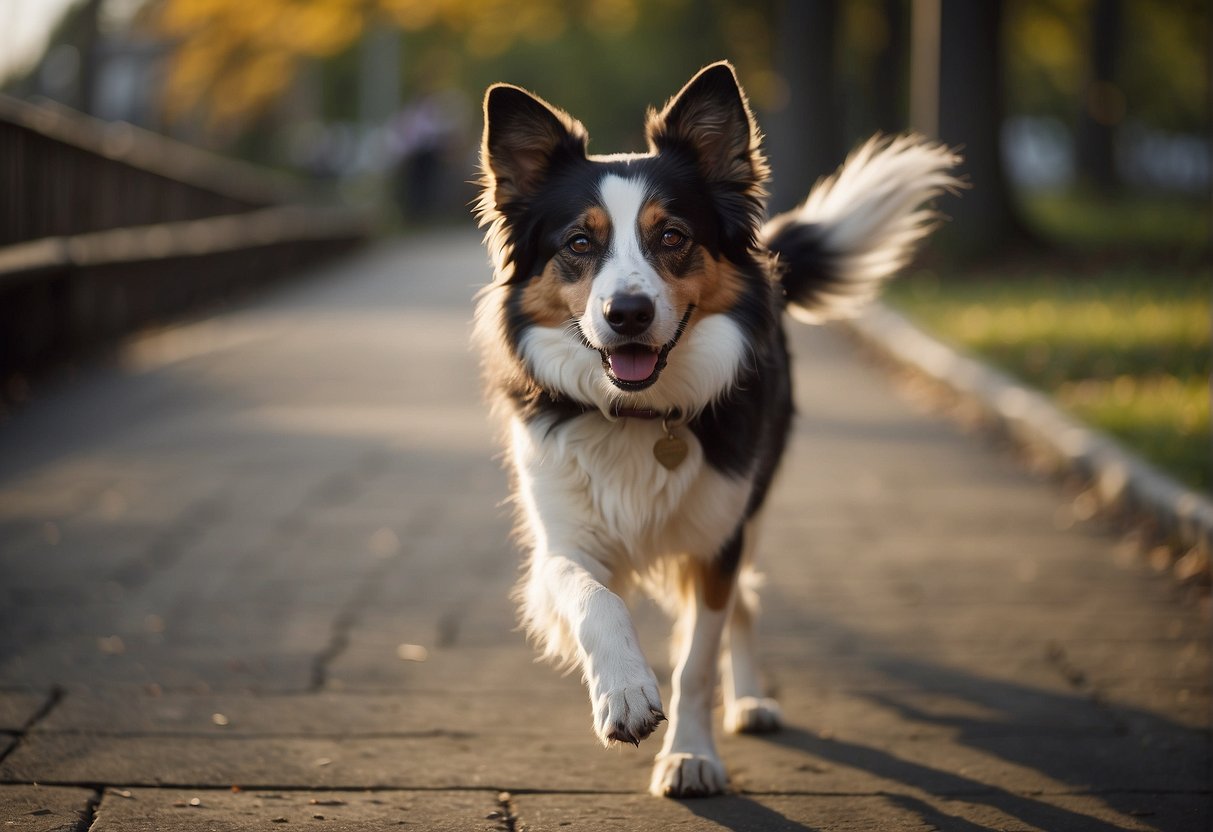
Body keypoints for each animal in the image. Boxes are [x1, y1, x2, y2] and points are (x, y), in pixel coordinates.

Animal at [470, 61, 955, 800]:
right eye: (578, 244)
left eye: (672, 236)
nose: (628, 313)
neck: (640, 414)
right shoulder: (561, 543)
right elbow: (595, 600)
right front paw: (624, 692)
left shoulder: (716, 540)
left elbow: (698, 659)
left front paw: (690, 754)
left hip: (749, 508)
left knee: (746, 601)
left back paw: (750, 699)